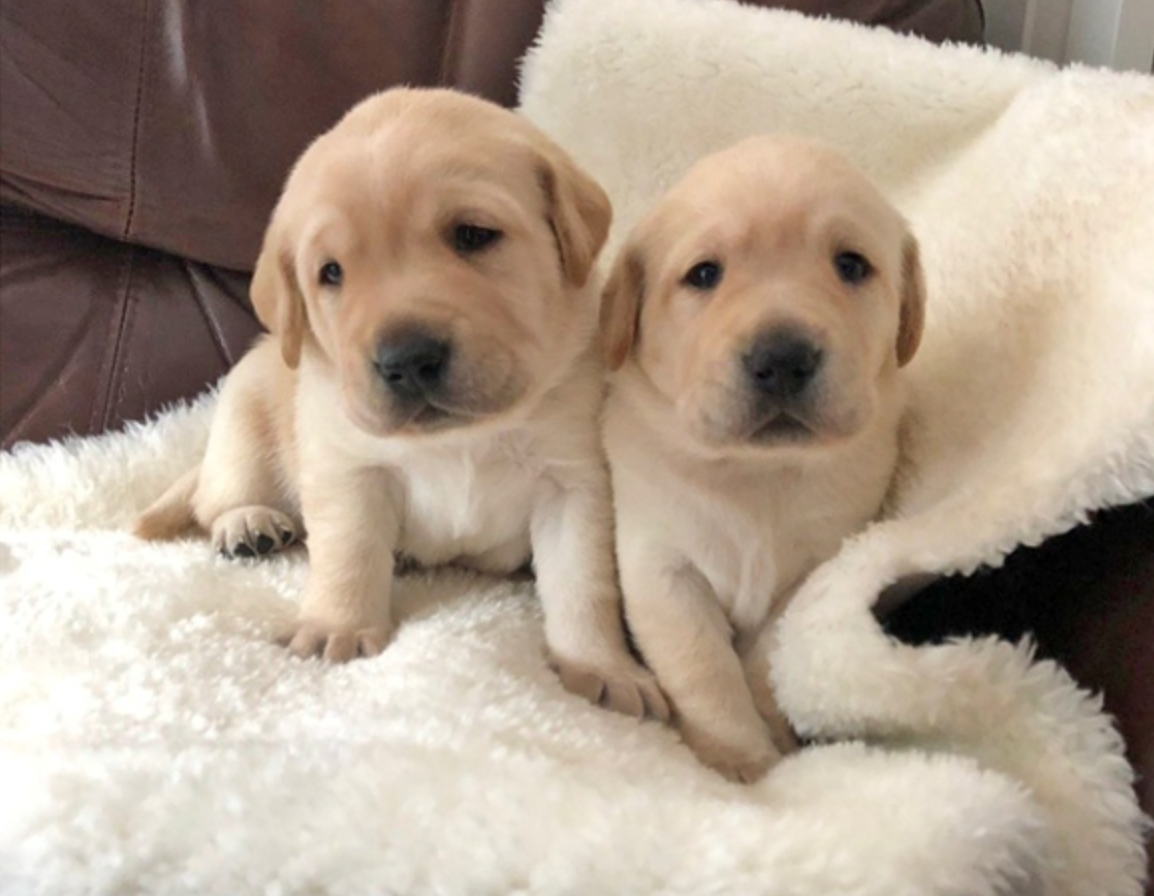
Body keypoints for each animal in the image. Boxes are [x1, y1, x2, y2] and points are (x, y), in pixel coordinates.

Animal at [137, 89, 669, 720]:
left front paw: (602, 666)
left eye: (473, 235)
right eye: (331, 273)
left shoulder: (574, 483)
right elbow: (348, 552)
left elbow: (584, 586)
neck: (461, 436)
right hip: (244, 421)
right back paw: (248, 523)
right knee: (214, 498)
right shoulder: (349, 469)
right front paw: (335, 626)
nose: (408, 358)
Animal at [600, 134, 923, 775]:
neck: (758, 472)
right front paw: (740, 762)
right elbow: (705, 671)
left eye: (851, 265)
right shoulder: (662, 568)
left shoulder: (817, 566)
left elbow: (766, 661)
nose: (782, 358)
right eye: (704, 274)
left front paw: (776, 741)